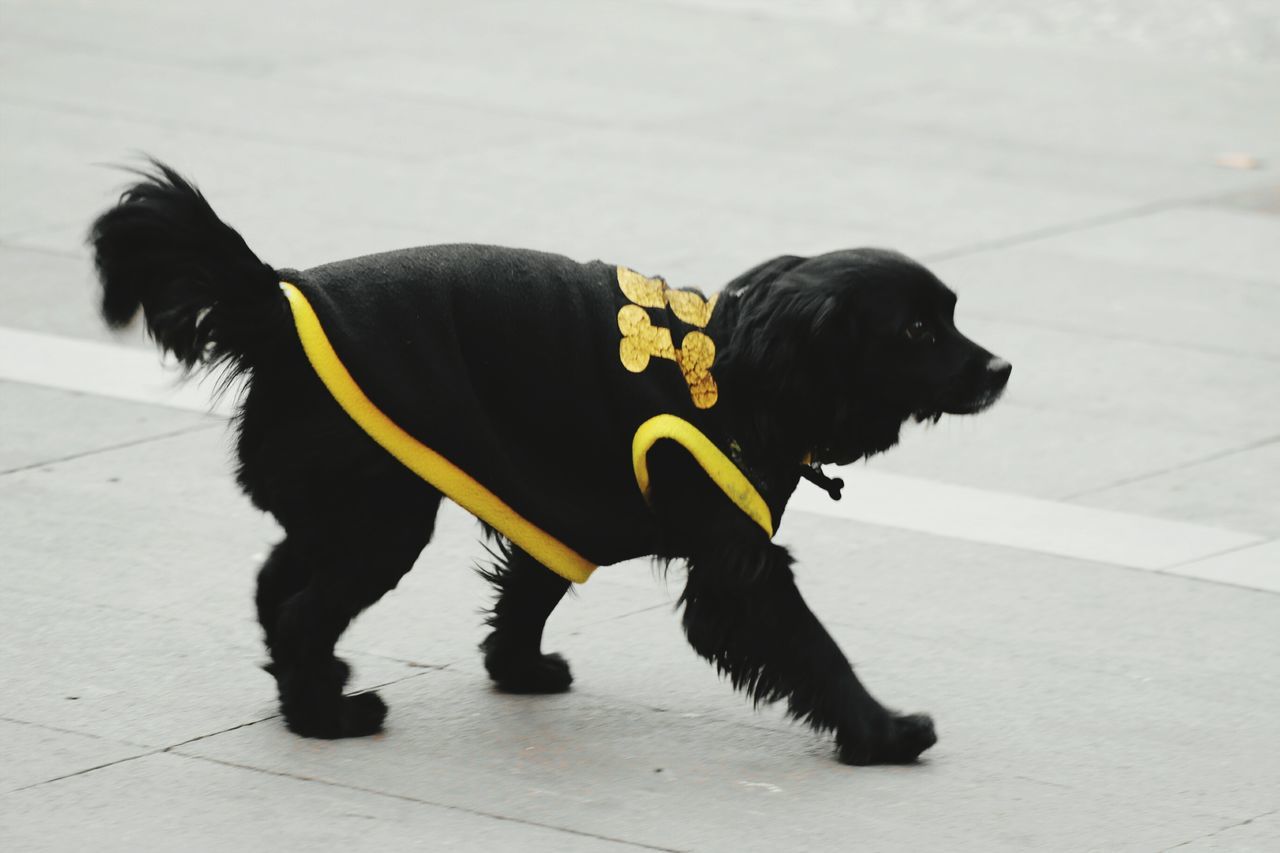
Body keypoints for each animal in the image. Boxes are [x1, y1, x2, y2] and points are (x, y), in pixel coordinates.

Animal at [90, 161, 1008, 763]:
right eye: (918, 330)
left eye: (952, 316)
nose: (1001, 368)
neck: (752, 370)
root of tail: (274, 301)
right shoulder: (736, 570)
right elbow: (814, 646)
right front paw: (883, 731)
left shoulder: (558, 506)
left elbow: (527, 594)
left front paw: (520, 670)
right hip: (382, 521)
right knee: (298, 607)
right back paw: (328, 716)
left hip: (345, 507)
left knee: (274, 584)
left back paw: (309, 688)